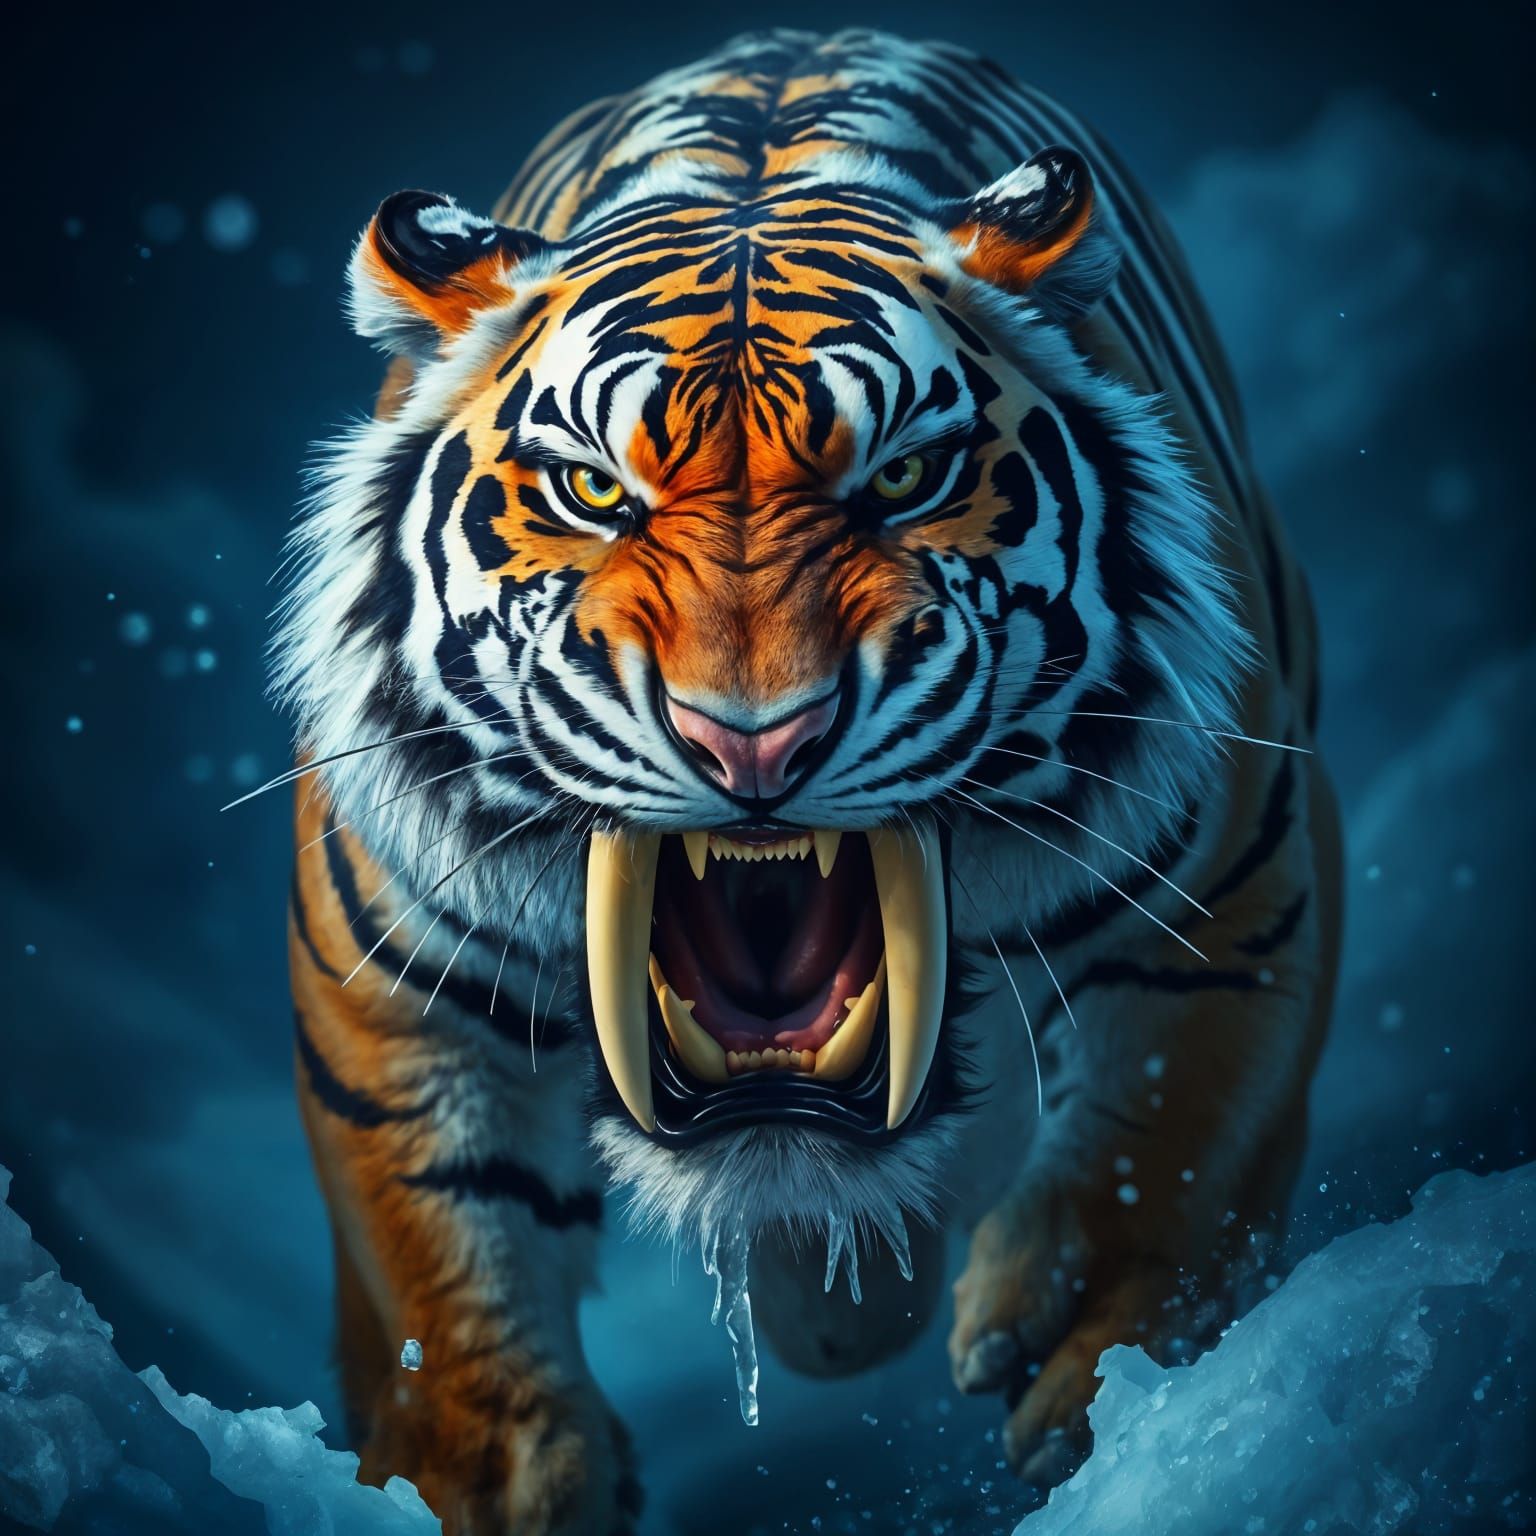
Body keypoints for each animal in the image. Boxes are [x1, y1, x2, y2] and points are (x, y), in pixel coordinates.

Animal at [274, 27, 1340, 1534]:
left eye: (904, 479)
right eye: (594, 492)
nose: (754, 742)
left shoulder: (1233, 897)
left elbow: (1172, 1153)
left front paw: (1086, 1356)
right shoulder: (391, 985)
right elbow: (436, 1245)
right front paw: (499, 1478)